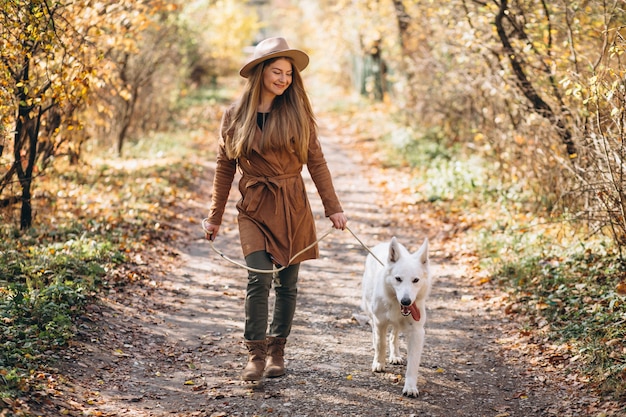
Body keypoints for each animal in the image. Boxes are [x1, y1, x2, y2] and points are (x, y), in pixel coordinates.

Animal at [358, 237, 432, 396]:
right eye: (398, 279)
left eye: (415, 280)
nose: (406, 301)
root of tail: (384, 243)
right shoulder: (380, 322)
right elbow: (381, 344)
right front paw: (379, 363)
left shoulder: (417, 332)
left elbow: (413, 363)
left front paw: (410, 387)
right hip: (370, 310)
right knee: (374, 331)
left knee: (394, 336)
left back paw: (395, 355)